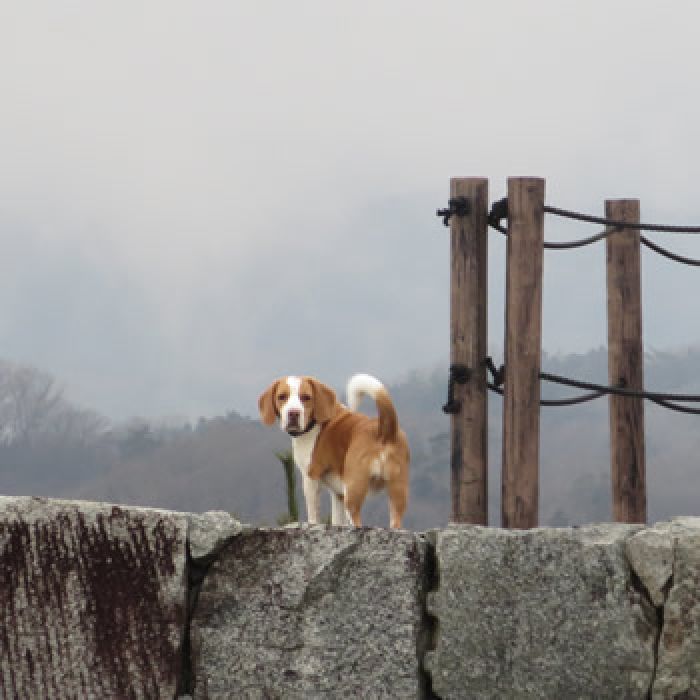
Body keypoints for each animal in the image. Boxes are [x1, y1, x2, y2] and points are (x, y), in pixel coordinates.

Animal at [258, 374, 410, 528]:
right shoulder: (338, 494)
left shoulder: (310, 478)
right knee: (396, 521)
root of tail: (384, 430)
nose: (293, 413)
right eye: (282, 397)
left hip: (353, 491)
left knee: (356, 521)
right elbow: (337, 520)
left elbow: (313, 514)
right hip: (397, 492)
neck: (316, 423)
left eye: (306, 397)